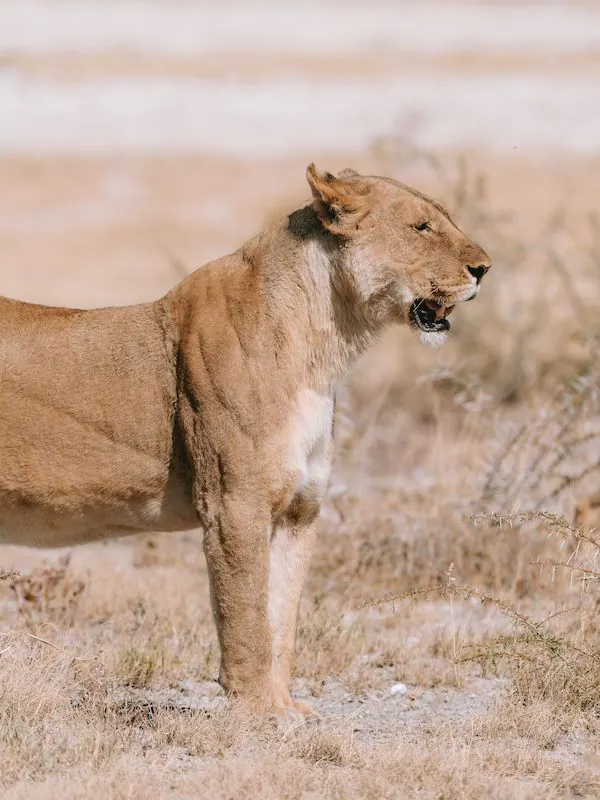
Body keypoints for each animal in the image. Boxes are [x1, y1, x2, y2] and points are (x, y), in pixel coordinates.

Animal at [0, 165, 491, 713]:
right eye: (420, 227)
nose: (484, 269)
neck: (322, 348)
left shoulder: (300, 510)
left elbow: (281, 617)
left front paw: (285, 708)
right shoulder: (234, 502)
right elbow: (246, 613)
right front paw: (257, 710)